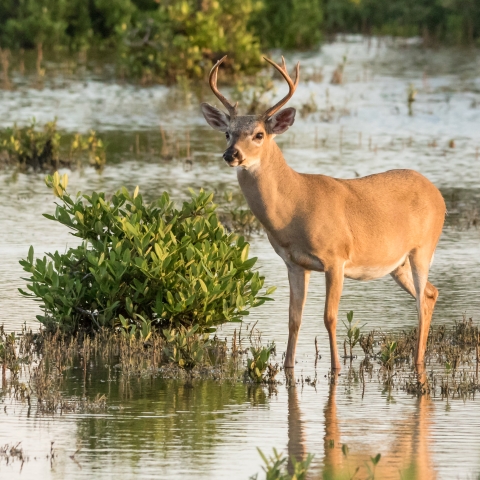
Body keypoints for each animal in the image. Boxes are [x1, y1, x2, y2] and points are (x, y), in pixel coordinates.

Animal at [200, 55, 446, 372]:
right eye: (228, 133)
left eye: (259, 134)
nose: (232, 154)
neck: (294, 207)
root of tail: (437, 193)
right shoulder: (294, 263)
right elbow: (294, 319)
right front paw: (288, 366)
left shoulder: (335, 258)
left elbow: (329, 317)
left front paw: (337, 368)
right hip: (397, 263)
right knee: (430, 293)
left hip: (423, 249)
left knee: (421, 302)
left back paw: (417, 361)